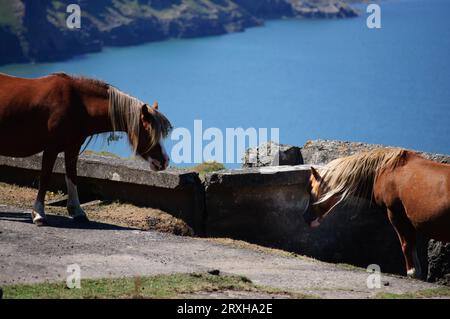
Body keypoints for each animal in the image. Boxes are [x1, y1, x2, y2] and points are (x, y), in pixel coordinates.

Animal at [0, 72, 172, 228]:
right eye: (148, 131)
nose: (164, 161)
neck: (78, 104)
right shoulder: (51, 148)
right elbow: (45, 178)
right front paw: (39, 214)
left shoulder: (73, 147)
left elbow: (72, 176)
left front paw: (77, 211)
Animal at [302, 149, 450, 278]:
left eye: (311, 189)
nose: (306, 217)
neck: (385, 171)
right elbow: (411, 244)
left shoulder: (396, 214)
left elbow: (406, 244)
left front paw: (412, 272)